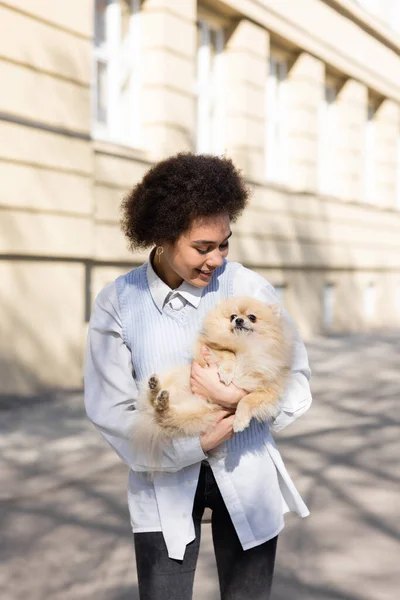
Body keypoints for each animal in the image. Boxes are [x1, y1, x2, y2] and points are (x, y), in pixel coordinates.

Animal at [133, 298, 292, 462]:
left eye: (252, 317)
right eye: (233, 316)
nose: (239, 320)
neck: (244, 343)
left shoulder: (268, 391)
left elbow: (246, 400)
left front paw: (240, 421)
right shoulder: (206, 350)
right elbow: (228, 352)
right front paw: (227, 372)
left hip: (197, 413)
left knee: (163, 413)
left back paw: (160, 398)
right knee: (159, 410)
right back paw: (155, 388)